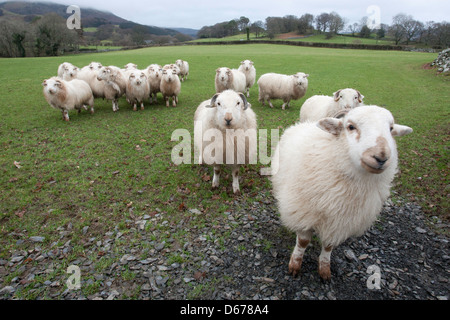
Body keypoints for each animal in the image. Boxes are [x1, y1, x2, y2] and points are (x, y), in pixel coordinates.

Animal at [268, 105, 414, 280]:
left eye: (391, 129)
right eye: (350, 126)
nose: (381, 157)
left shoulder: (340, 221)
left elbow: (328, 246)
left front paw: (324, 269)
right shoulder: (303, 213)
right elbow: (303, 242)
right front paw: (295, 264)